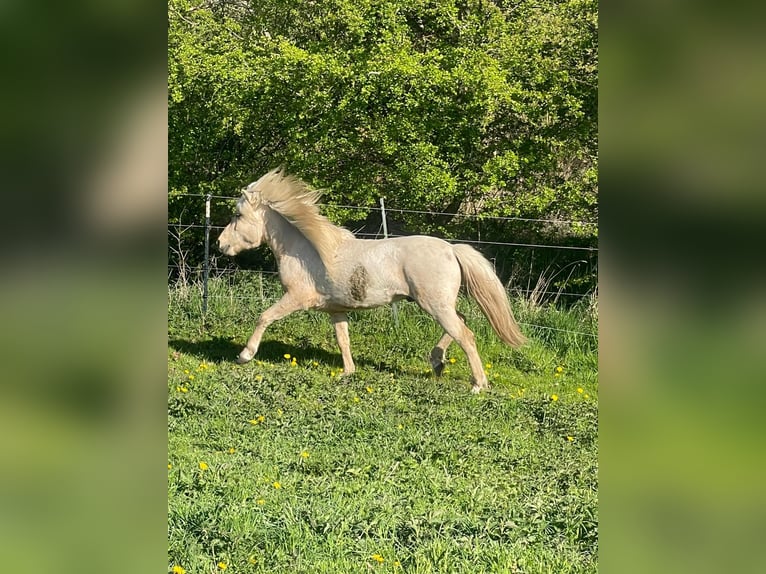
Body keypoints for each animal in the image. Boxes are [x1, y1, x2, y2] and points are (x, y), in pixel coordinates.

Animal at [217, 169, 526, 393]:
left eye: (237, 215)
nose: (220, 244)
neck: (306, 250)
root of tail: (451, 249)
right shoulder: (336, 310)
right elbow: (343, 340)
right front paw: (348, 372)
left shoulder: (296, 298)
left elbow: (264, 317)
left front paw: (245, 355)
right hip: (439, 305)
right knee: (461, 322)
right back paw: (437, 363)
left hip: (434, 305)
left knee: (465, 334)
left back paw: (478, 385)